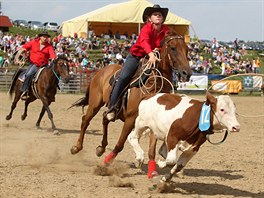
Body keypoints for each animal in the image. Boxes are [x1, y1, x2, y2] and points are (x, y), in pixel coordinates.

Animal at [69, 31, 191, 164]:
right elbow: (120, 144)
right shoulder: (130, 119)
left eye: (187, 49)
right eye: (173, 48)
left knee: (105, 118)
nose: (187, 73)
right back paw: (76, 147)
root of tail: (100, 72)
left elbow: (151, 151)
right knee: (85, 120)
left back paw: (101, 148)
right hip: (95, 104)